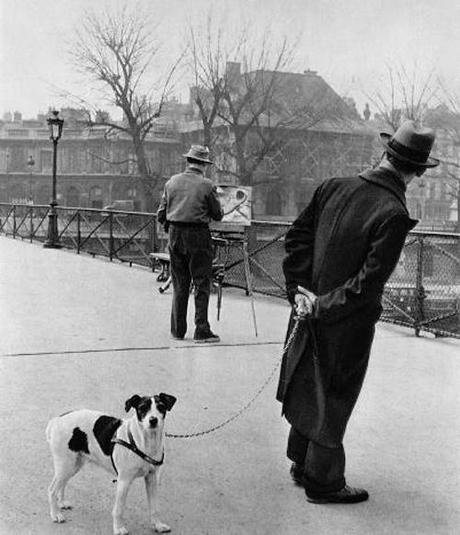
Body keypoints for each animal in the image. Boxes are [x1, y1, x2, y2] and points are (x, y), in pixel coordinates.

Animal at [46, 394, 176, 535]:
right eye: (142, 408)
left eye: (161, 407)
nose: (153, 420)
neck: (144, 443)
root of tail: (57, 420)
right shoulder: (124, 481)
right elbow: (119, 510)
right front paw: (118, 528)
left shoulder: (152, 479)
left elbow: (154, 507)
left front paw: (158, 525)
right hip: (66, 465)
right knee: (52, 489)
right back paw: (55, 514)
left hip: (73, 465)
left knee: (61, 484)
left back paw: (61, 503)